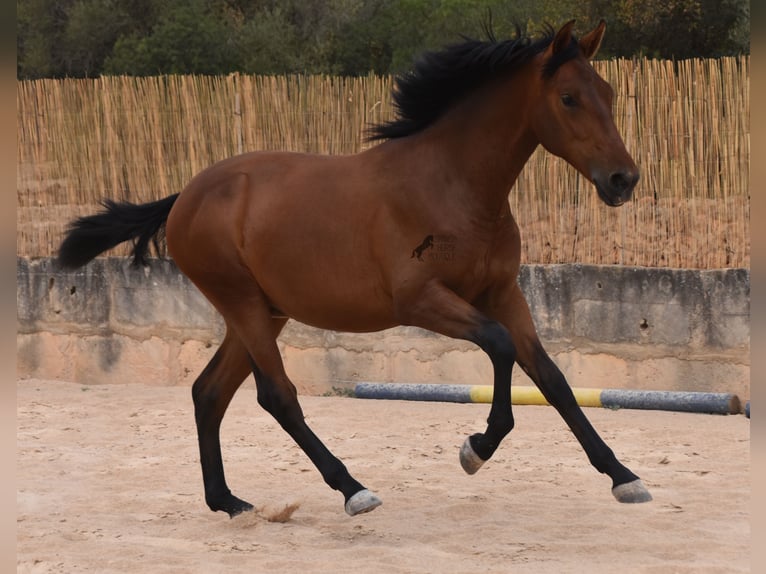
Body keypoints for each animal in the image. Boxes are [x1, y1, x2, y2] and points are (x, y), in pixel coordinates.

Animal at [57, 20, 656, 520]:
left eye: (608, 94)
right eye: (569, 98)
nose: (623, 179)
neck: (454, 186)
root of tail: (186, 195)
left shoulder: (504, 293)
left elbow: (552, 378)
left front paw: (623, 477)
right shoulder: (422, 300)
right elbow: (501, 346)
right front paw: (475, 449)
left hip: (264, 312)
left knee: (209, 392)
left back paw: (228, 502)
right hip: (244, 305)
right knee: (277, 395)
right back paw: (352, 490)